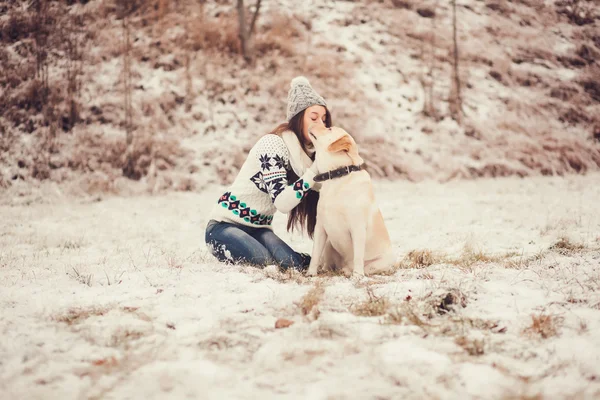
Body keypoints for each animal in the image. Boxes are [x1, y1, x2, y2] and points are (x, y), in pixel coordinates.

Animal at [308, 126, 396, 276]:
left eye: (329, 128)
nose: (311, 125)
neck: (338, 177)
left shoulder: (358, 228)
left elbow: (358, 256)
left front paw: (357, 275)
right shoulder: (320, 226)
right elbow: (315, 254)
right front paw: (311, 273)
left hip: (379, 263)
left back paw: (351, 272)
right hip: (329, 244)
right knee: (328, 263)